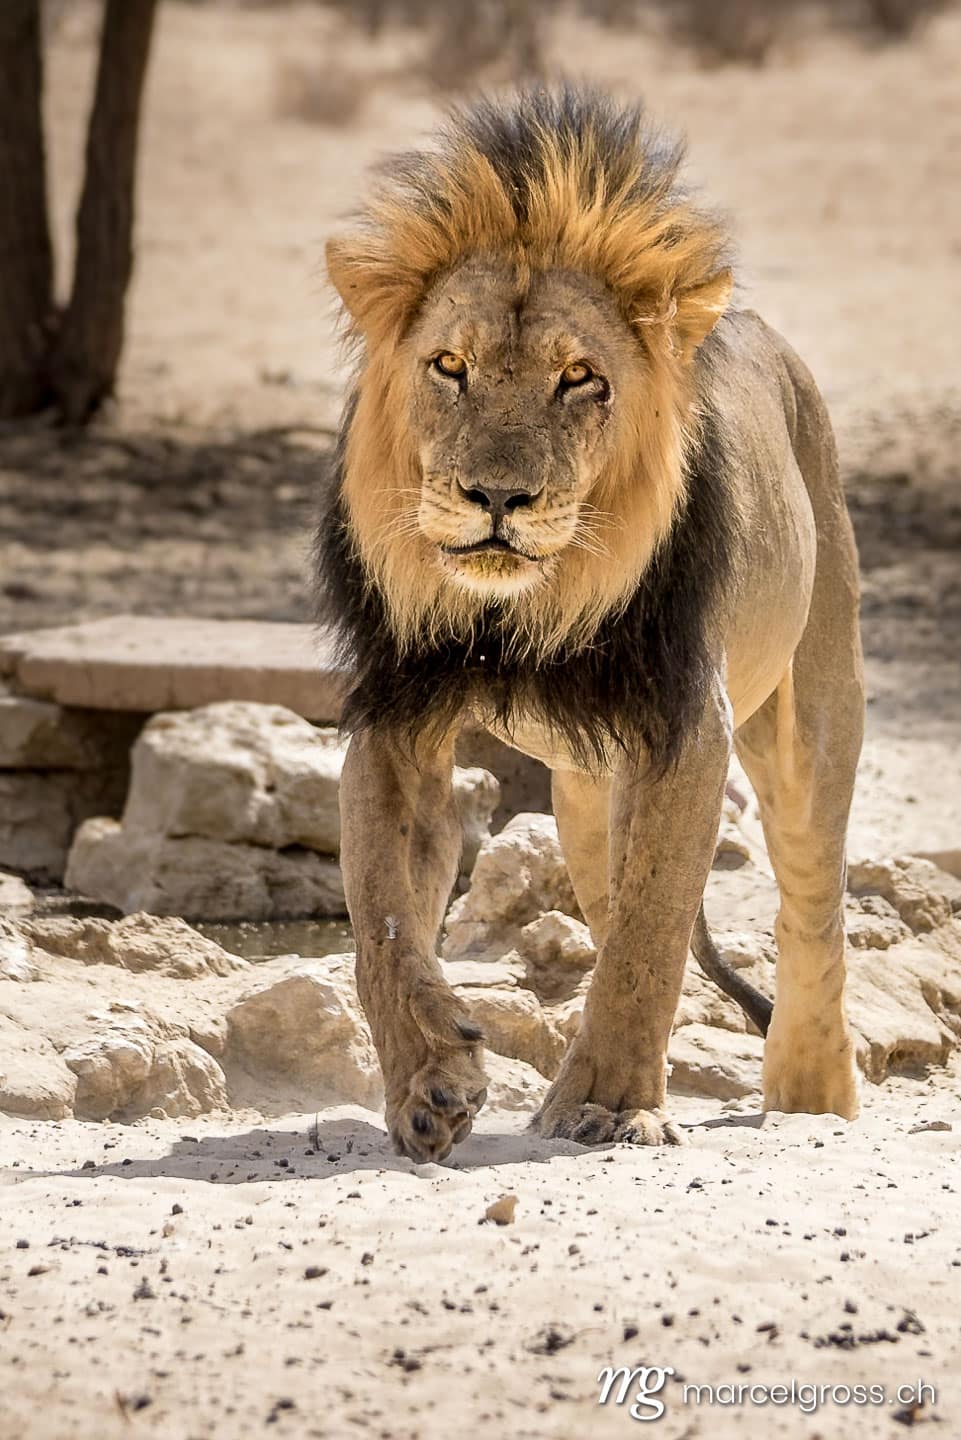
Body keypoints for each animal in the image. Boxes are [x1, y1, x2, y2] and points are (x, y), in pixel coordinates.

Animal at [316, 88, 864, 1161]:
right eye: (449, 365)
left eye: (579, 378)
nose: (496, 497)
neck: (523, 610)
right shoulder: (398, 714)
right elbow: (382, 922)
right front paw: (430, 1082)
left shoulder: (685, 723)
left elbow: (652, 930)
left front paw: (607, 1105)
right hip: (582, 793)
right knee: (613, 906)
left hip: (808, 722)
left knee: (809, 906)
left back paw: (811, 1092)